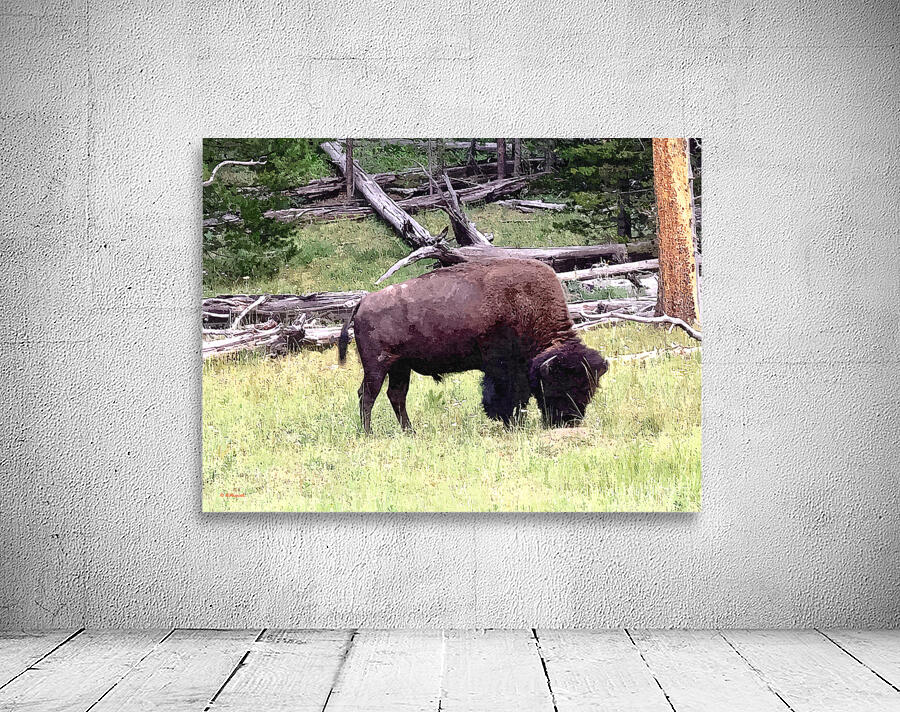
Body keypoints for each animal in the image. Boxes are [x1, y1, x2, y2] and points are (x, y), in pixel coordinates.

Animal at [338, 257, 608, 433]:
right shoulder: (503, 368)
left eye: (590, 388)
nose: (569, 421)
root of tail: (363, 302)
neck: (526, 306)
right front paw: (512, 423)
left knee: (396, 395)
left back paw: (410, 432)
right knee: (367, 395)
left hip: (400, 367)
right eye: (560, 384)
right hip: (377, 365)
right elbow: (508, 396)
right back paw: (368, 434)